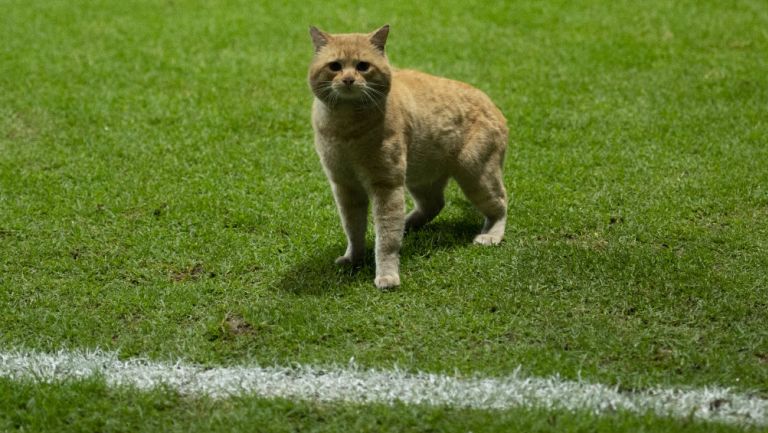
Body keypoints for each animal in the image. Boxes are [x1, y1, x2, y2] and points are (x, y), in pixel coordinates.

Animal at [306, 23, 510, 286]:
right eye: (335, 66)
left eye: (362, 66)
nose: (349, 79)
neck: (346, 128)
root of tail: (494, 106)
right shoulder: (345, 187)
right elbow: (353, 229)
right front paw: (354, 258)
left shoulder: (387, 185)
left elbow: (386, 238)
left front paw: (387, 274)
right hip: (422, 178)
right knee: (434, 204)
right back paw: (408, 224)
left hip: (476, 175)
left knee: (500, 204)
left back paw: (491, 235)